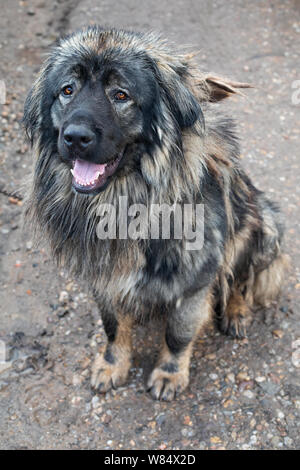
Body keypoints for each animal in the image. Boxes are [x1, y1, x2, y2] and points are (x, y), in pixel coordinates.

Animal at [22, 25, 286, 400]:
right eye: (67, 90)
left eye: (120, 95)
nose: (74, 137)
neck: (126, 203)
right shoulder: (105, 279)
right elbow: (113, 327)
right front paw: (112, 365)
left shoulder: (195, 282)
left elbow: (178, 334)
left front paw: (169, 373)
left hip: (267, 225)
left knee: (240, 278)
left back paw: (236, 312)